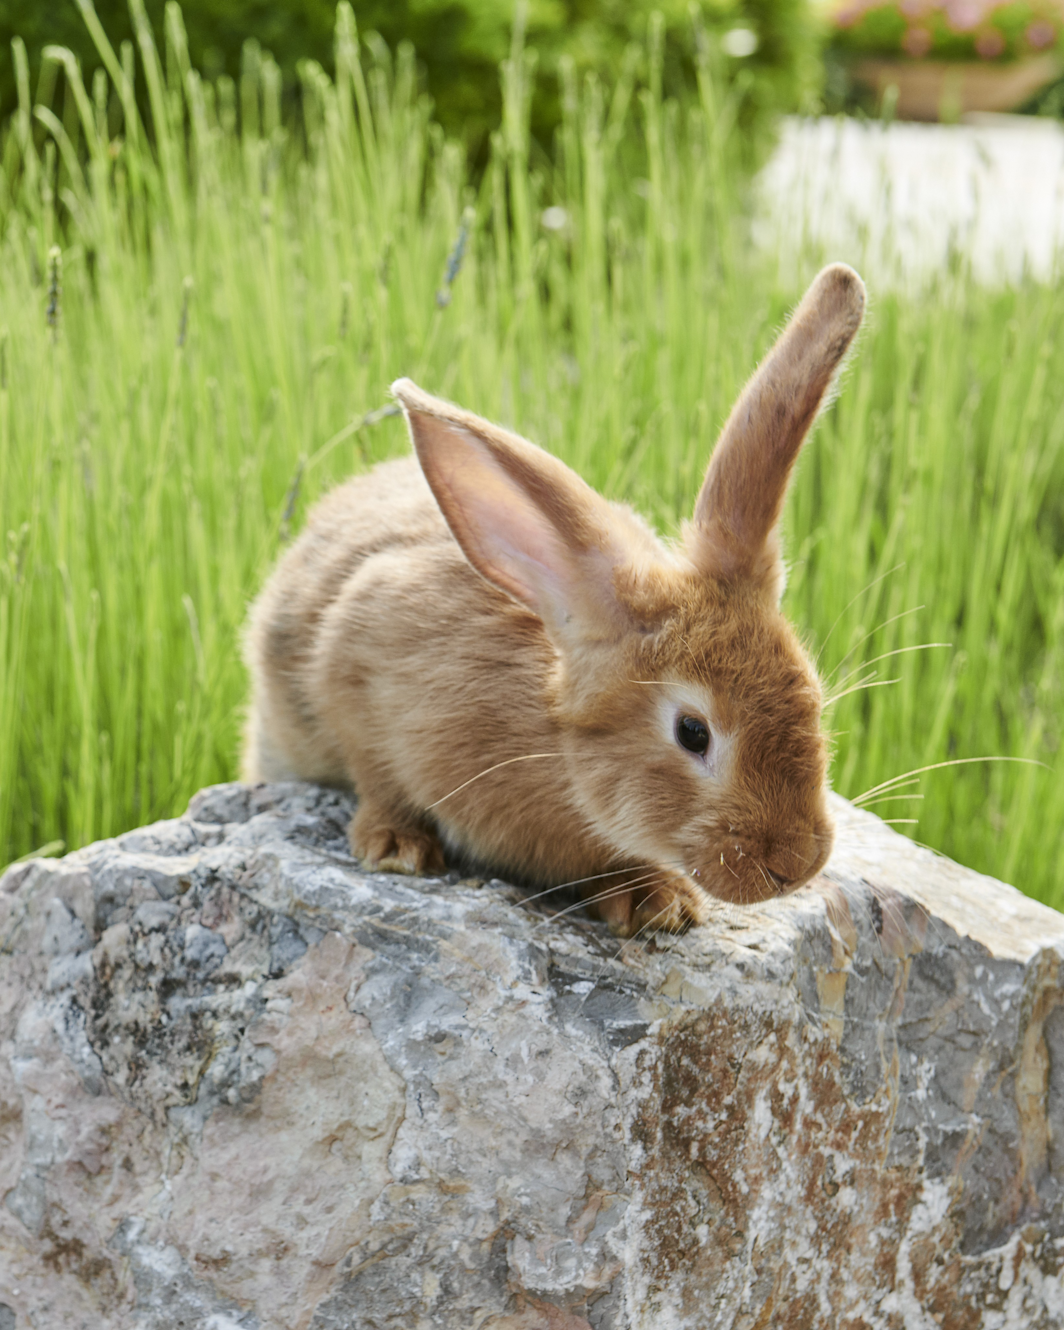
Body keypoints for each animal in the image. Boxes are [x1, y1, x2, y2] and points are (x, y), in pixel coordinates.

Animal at [242, 262, 866, 936]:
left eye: (814, 698)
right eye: (693, 733)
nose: (797, 864)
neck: (554, 740)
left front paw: (662, 902)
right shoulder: (356, 651)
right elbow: (376, 770)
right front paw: (395, 846)